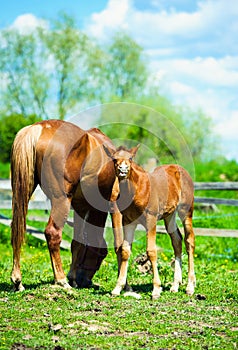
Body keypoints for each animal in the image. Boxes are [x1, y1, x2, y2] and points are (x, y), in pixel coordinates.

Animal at [10, 119, 119, 292]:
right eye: (101, 256)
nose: (85, 281)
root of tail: (37, 128)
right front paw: (70, 278)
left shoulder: (81, 207)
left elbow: (77, 242)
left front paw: (73, 277)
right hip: (61, 200)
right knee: (52, 233)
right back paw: (61, 280)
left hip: (24, 191)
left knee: (17, 230)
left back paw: (18, 280)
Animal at [103, 144, 195, 298]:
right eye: (114, 159)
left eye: (130, 158)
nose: (123, 170)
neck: (136, 190)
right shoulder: (128, 222)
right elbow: (125, 250)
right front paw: (118, 287)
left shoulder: (151, 220)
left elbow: (151, 251)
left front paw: (156, 289)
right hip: (169, 215)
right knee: (177, 240)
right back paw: (175, 285)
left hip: (185, 211)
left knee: (189, 241)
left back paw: (190, 286)